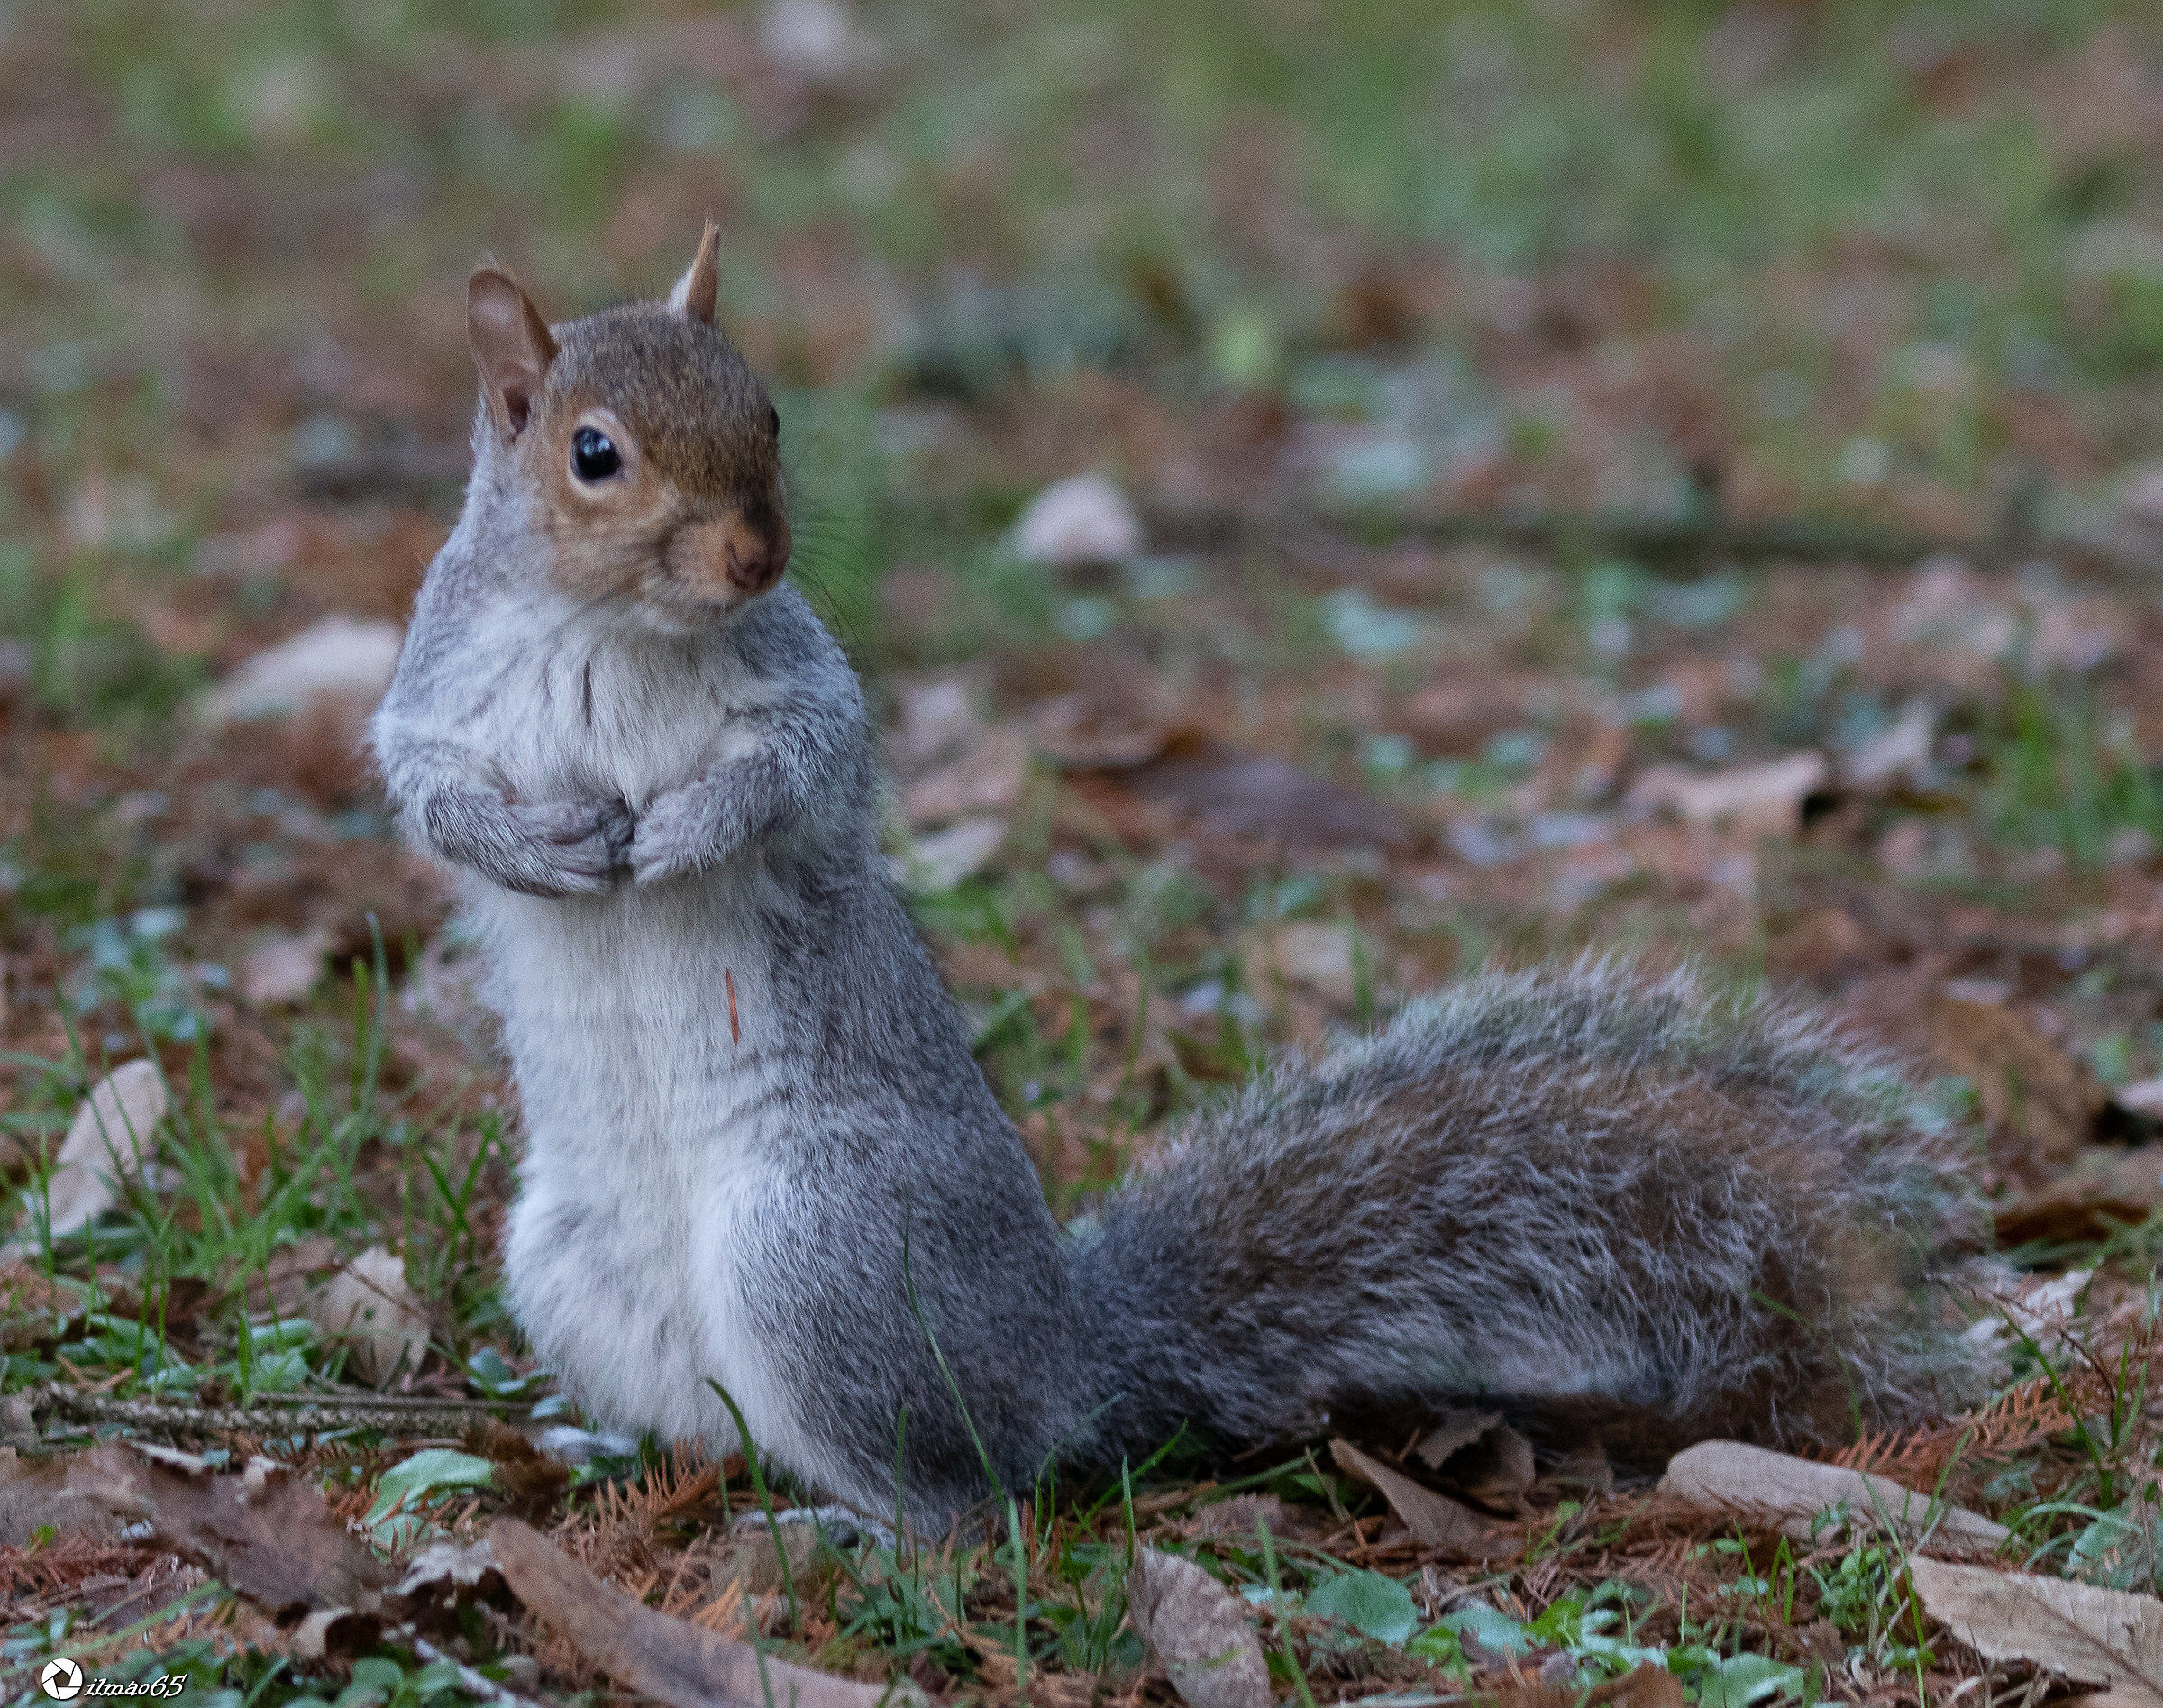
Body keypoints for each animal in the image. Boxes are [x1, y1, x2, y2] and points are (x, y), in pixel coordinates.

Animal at [372, 224, 1992, 1529]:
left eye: (767, 408)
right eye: (593, 452)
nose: (758, 557)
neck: (614, 631)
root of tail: (1066, 1359)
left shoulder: (805, 692)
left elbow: (802, 771)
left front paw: (688, 833)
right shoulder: (436, 696)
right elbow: (428, 792)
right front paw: (543, 846)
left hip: (816, 1248)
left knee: (965, 1498)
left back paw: (848, 1524)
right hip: (575, 1265)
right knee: (738, 1432)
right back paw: (621, 1450)